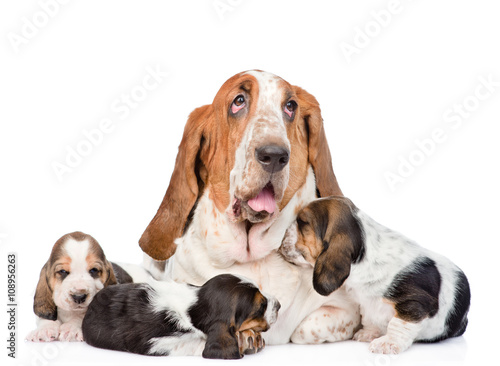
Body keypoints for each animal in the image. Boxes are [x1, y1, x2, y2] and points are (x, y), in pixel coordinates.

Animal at [80, 274, 280, 358]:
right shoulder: (156, 343)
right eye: (261, 306)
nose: (279, 304)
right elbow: (194, 343)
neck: (193, 308)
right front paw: (243, 342)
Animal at [280, 197, 470, 354]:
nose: (282, 235)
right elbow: (370, 317)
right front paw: (368, 333)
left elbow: (399, 324)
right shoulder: (365, 302)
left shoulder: (414, 302)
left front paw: (388, 343)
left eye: (303, 222)